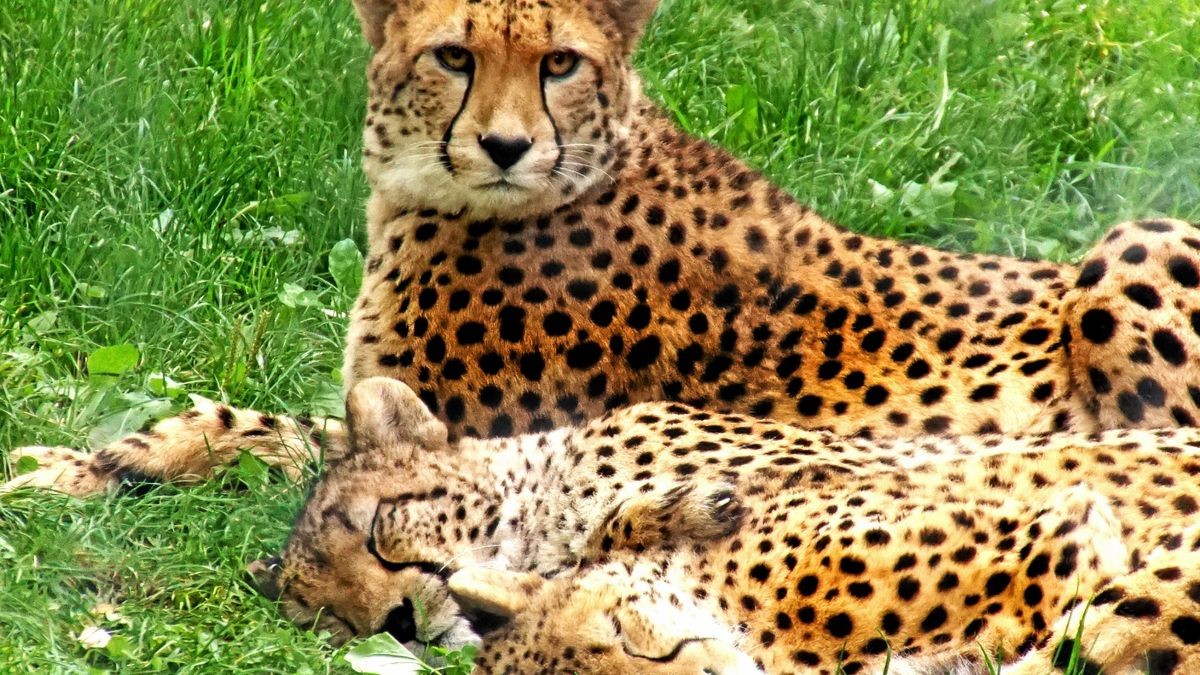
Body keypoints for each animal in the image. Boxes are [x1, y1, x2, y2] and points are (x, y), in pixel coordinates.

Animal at [4, 0, 1195, 492]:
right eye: (454, 53)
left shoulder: (472, 436)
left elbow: (265, 426)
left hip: (1137, 242)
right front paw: (90, 454)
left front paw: (101, 461)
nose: (504, 144)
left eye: (560, 62)